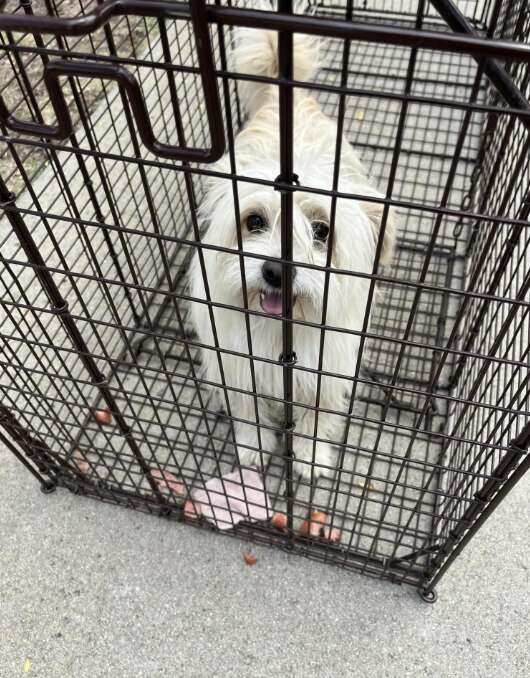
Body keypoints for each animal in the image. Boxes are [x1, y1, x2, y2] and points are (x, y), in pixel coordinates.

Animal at [189, 6, 392, 484]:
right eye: (255, 221)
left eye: (321, 231)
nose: (277, 270)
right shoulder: (236, 361)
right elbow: (247, 409)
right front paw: (252, 448)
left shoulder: (327, 370)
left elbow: (317, 416)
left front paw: (311, 456)